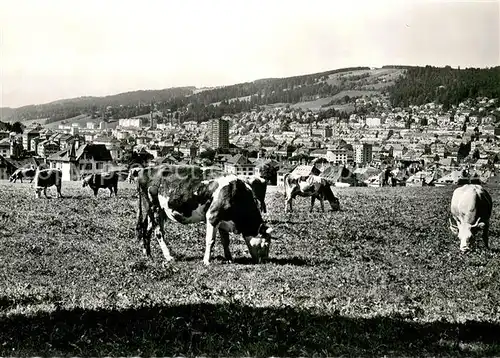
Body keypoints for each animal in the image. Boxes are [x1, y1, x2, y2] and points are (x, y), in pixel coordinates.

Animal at [135, 165, 274, 266]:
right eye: (266, 245)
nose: (265, 261)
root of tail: (144, 170)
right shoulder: (213, 216)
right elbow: (210, 240)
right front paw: (207, 261)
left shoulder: (222, 219)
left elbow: (225, 241)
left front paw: (229, 258)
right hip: (155, 207)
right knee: (158, 232)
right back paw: (168, 256)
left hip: (155, 211)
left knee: (146, 230)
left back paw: (148, 254)